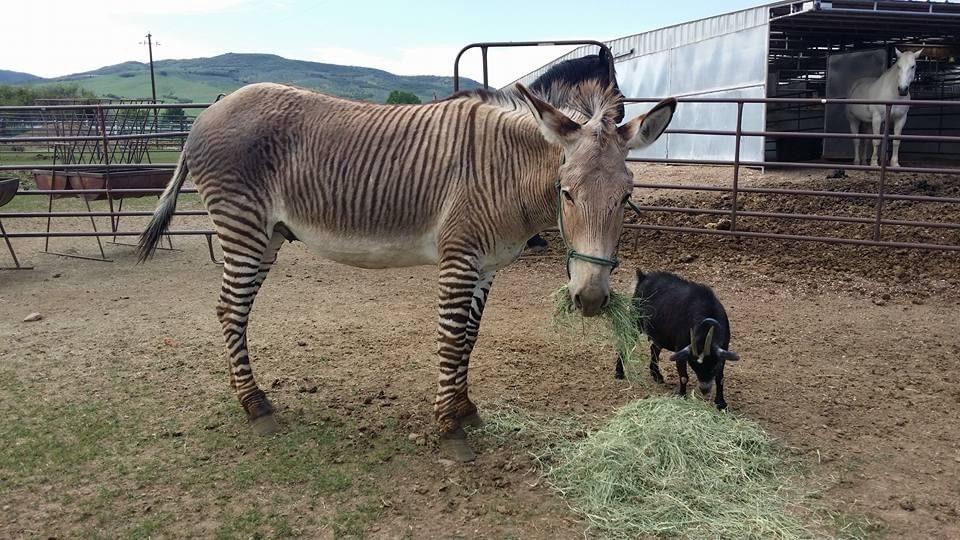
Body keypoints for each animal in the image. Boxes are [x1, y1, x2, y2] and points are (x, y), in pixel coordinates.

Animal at [138, 78, 676, 462]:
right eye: (566, 193)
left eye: (626, 197)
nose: (591, 299)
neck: (503, 171)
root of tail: (209, 112)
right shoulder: (459, 258)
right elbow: (451, 338)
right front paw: (450, 429)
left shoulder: (486, 265)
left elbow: (469, 338)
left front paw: (465, 409)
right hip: (242, 225)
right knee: (230, 309)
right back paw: (255, 406)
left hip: (268, 234)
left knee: (234, 308)